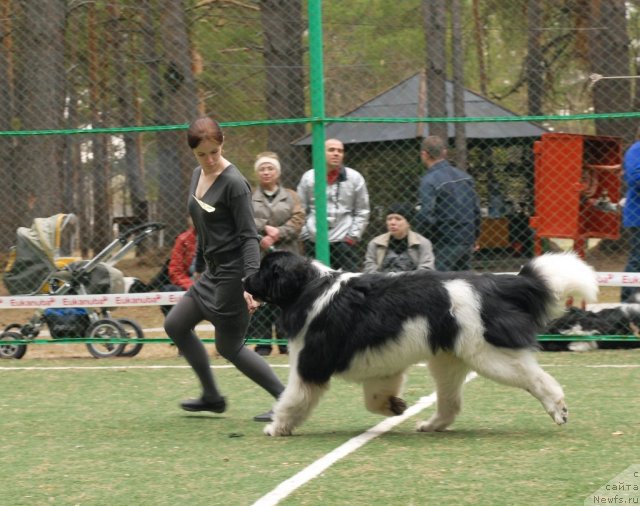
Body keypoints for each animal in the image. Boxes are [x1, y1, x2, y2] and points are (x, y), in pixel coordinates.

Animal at [245, 251, 600, 436]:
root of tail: (493, 283)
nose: (244, 279)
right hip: (447, 361)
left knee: (537, 379)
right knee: (451, 403)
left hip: (490, 356)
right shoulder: (380, 366)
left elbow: (292, 398)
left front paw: (277, 427)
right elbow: (374, 398)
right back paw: (431, 424)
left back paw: (558, 410)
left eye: (263, 269)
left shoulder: (309, 365)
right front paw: (394, 406)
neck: (309, 288)